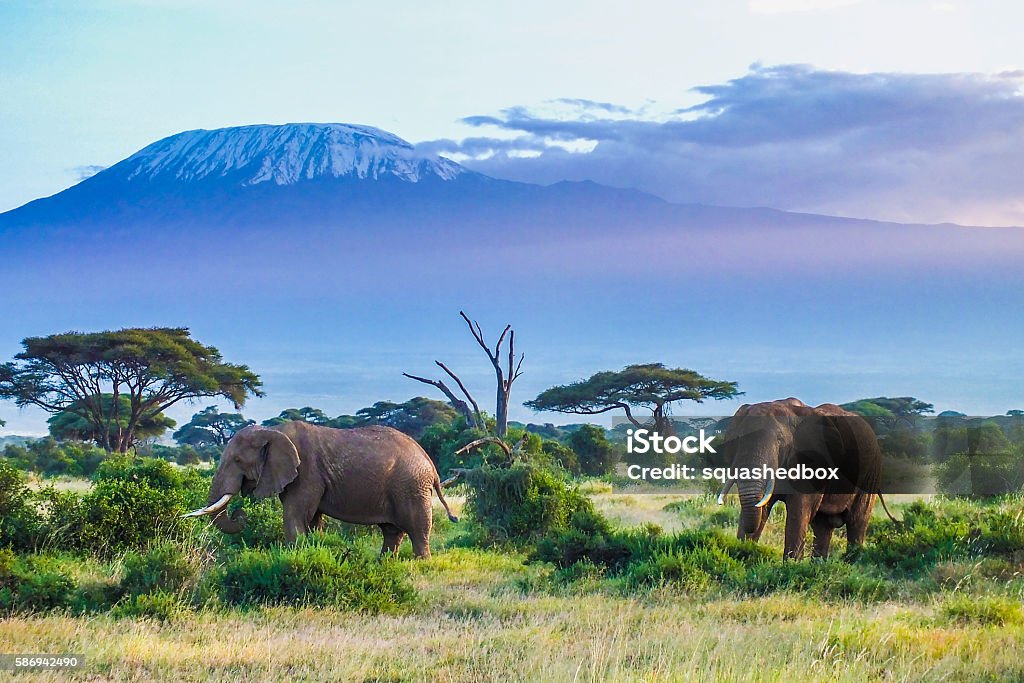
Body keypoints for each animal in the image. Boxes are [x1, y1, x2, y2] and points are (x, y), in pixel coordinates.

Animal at [182, 419, 458, 557]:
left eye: (238, 460)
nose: (241, 514)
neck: (273, 431)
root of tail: (430, 464)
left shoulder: (307, 473)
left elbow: (295, 516)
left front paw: (294, 557)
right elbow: (312, 519)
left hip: (411, 486)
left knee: (417, 528)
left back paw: (420, 563)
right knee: (392, 531)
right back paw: (385, 563)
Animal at [716, 397, 884, 557]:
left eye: (780, 439)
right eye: (738, 439)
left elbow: (799, 511)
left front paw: (790, 565)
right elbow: (763, 505)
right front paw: (743, 553)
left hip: (871, 473)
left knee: (857, 521)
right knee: (823, 525)